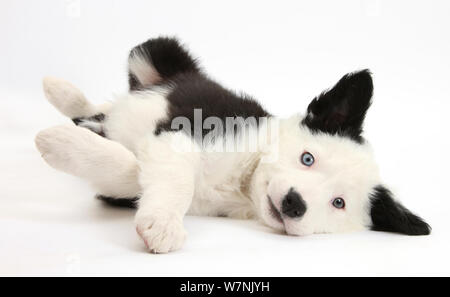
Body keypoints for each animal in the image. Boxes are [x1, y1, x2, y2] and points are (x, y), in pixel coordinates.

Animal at [34, 36, 428, 252]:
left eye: (338, 203)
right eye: (307, 158)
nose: (294, 203)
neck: (242, 185)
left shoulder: (133, 181)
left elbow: (129, 170)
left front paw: (67, 146)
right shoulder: (189, 129)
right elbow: (178, 177)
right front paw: (164, 223)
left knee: (102, 115)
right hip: (155, 53)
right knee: (111, 96)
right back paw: (62, 92)